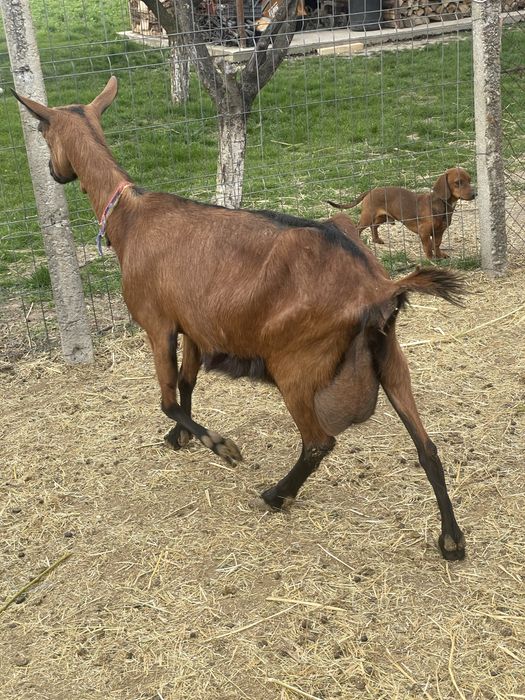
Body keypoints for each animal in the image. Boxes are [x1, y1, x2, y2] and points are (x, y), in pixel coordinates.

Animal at [14, 77, 466, 560]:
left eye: (42, 130)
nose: (54, 171)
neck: (130, 218)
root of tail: (378, 289)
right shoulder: (195, 326)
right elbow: (187, 383)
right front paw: (180, 438)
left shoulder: (158, 324)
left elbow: (168, 398)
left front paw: (220, 445)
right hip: (391, 357)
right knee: (427, 446)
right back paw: (452, 538)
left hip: (297, 368)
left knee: (319, 442)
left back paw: (276, 494)